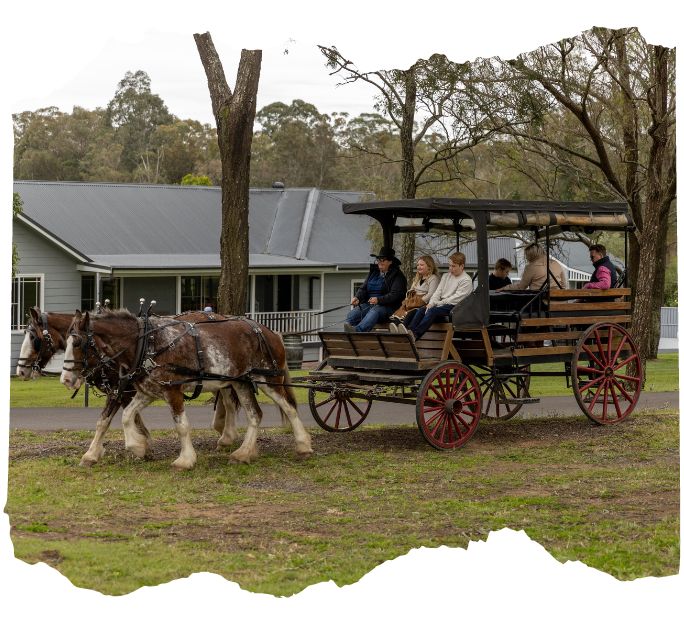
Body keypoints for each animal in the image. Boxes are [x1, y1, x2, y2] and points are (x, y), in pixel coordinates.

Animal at [16, 306, 243, 464]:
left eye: (34, 338)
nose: (20, 371)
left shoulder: (121, 389)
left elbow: (109, 420)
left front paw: (139, 445)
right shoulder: (127, 390)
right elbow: (122, 418)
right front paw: (137, 444)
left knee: (230, 400)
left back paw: (227, 435)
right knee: (228, 399)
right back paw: (225, 431)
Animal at [61, 308, 312, 468]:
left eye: (78, 343)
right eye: (64, 342)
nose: (65, 379)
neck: (147, 344)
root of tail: (269, 331)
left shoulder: (172, 391)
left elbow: (181, 425)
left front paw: (185, 460)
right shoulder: (145, 391)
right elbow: (122, 418)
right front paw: (137, 447)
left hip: (269, 380)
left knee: (289, 408)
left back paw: (303, 445)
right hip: (241, 382)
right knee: (254, 414)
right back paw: (243, 453)